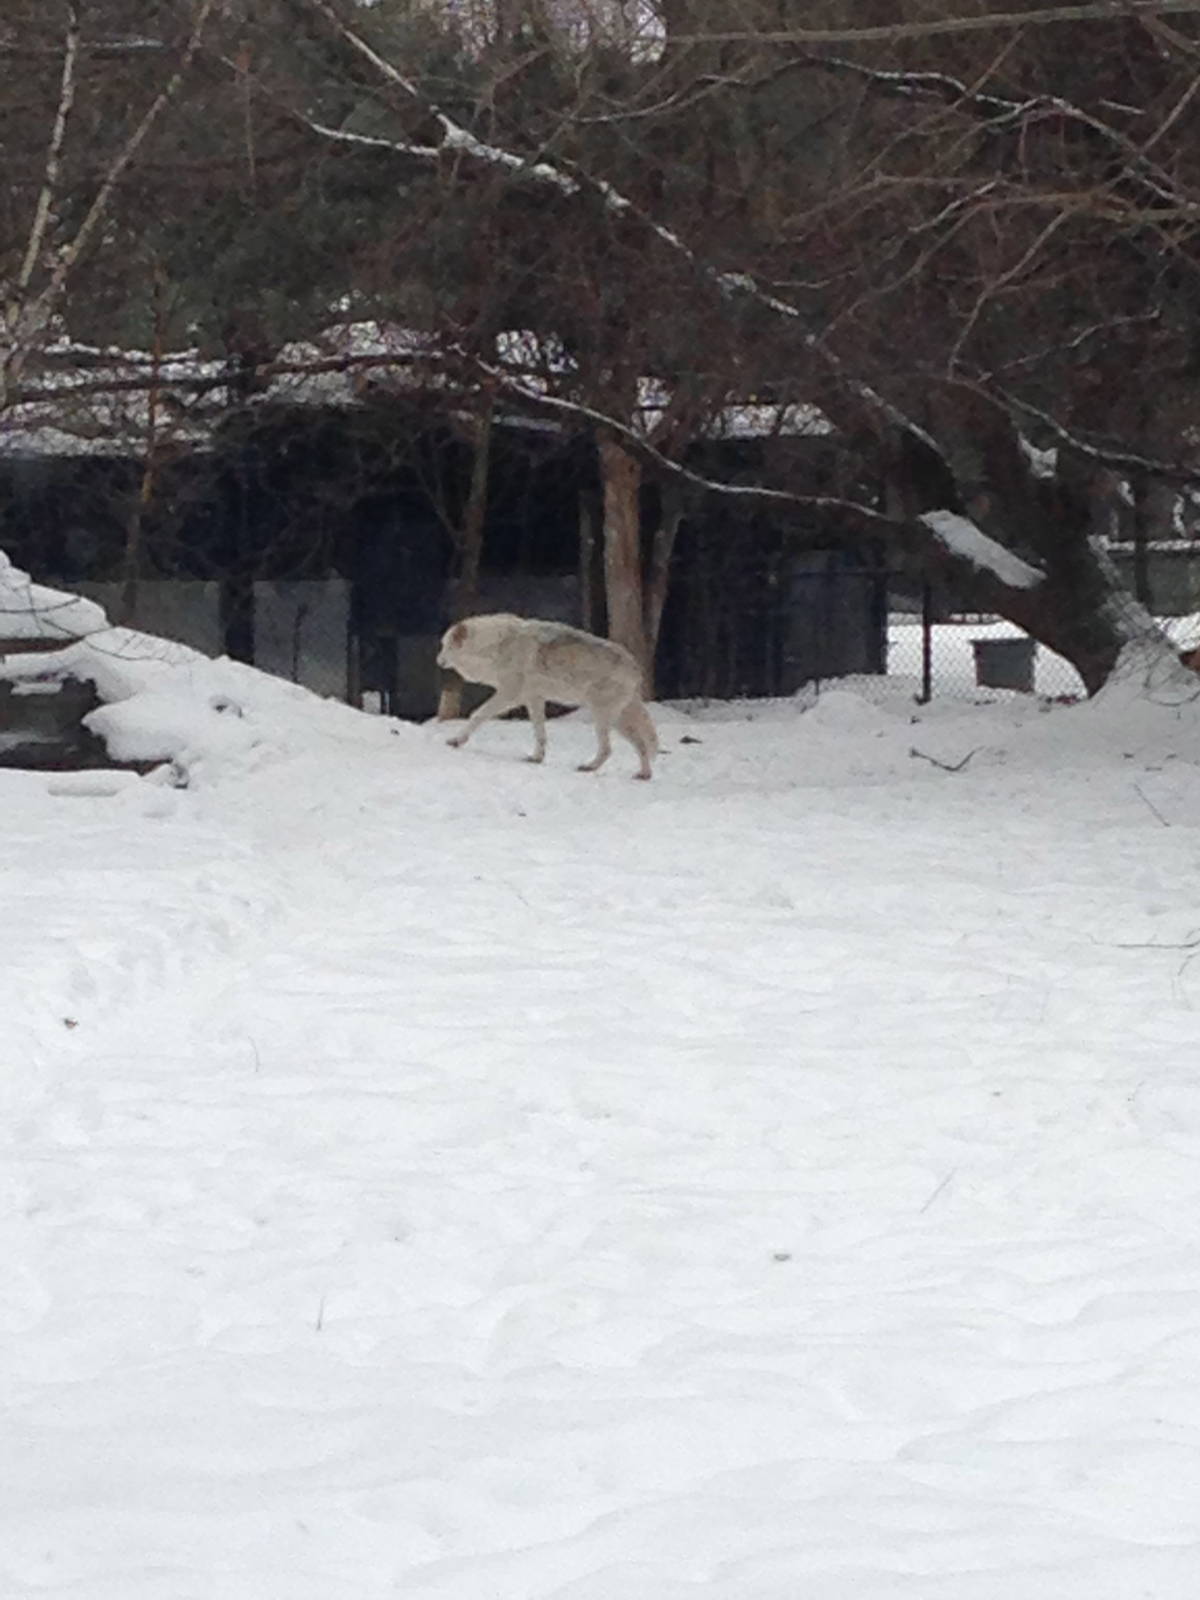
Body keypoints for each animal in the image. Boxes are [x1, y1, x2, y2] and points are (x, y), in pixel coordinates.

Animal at [437, 614, 657, 779]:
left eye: (445, 646)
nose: (438, 661)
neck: (494, 646)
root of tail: (635, 668)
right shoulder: (534, 699)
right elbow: (540, 734)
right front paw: (537, 758)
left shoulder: (509, 695)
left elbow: (477, 715)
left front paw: (456, 740)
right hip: (616, 720)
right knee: (642, 745)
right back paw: (644, 775)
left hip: (602, 717)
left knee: (609, 749)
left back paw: (589, 767)